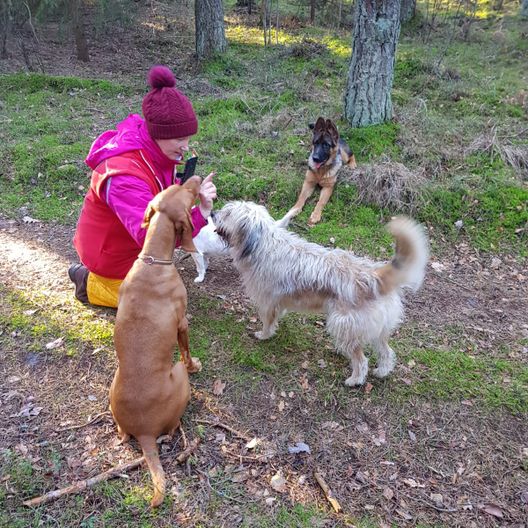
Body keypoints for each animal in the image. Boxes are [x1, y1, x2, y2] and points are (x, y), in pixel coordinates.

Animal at [109, 177, 202, 508]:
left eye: (174, 187)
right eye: (188, 193)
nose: (194, 178)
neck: (153, 262)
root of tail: (145, 432)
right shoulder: (183, 323)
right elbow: (186, 350)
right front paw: (196, 363)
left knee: (122, 435)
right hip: (178, 376)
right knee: (172, 428)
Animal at [213, 200, 428, 386]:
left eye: (228, 213)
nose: (213, 213)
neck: (260, 244)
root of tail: (374, 275)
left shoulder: (267, 301)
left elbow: (268, 322)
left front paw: (263, 335)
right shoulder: (277, 301)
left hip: (343, 324)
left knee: (361, 360)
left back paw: (354, 380)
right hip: (377, 330)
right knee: (386, 352)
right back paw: (382, 371)